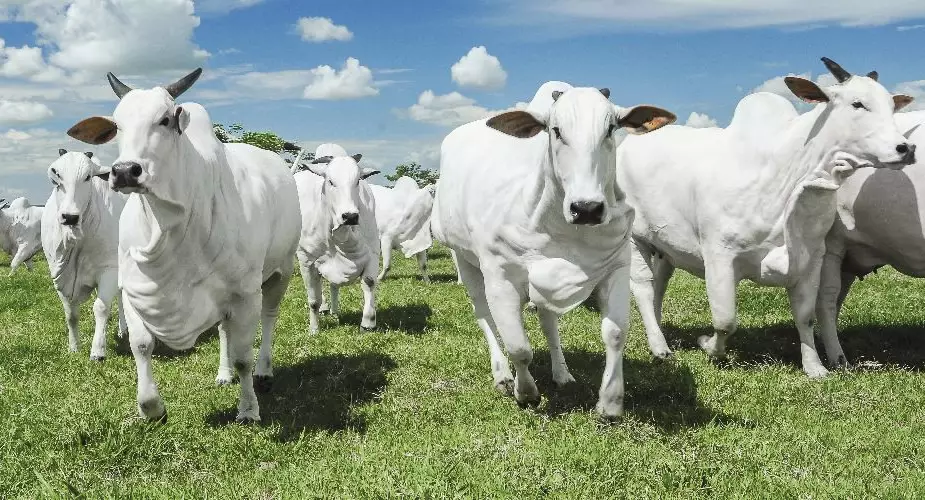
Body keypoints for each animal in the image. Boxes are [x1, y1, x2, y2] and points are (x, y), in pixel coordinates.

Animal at [41, 150, 127, 360]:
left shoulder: (109, 269)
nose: (70, 217)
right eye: (57, 176)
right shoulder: (59, 277)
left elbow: (101, 308)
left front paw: (98, 351)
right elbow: (71, 314)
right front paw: (74, 347)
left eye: (88, 177)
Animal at [66, 68, 302, 423]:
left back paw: (264, 371)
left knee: (269, 318)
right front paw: (151, 407)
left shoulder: (246, 293)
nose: (124, 171)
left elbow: (244, 355)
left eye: (165, 120)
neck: (167, 227)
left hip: (281, 270)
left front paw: (248, 409)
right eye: (117, 126)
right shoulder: (136, 291)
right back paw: (224, 373)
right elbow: (141, 345)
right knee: (224, 331)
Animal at [294, 143, 380, 334]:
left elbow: (369, 282)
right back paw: (325, 308)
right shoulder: (306, 261)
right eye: (330, 182)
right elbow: (313, 300)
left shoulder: (373, 253)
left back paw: (334, 311)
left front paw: (368, 323)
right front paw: (314, 329)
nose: (350, 216)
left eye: (358, 181)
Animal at [432, 80, 676, 419]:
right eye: (556, 130)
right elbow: (519, 346)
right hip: (463, 259)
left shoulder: (616, 266)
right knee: (483, 314)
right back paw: (502, 374)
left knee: (548, 320)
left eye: (611, 128)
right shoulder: (499, 277)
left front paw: (611, 402)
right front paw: (526, 392)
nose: (586, 208)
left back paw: (562, 373)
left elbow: (615, 334)